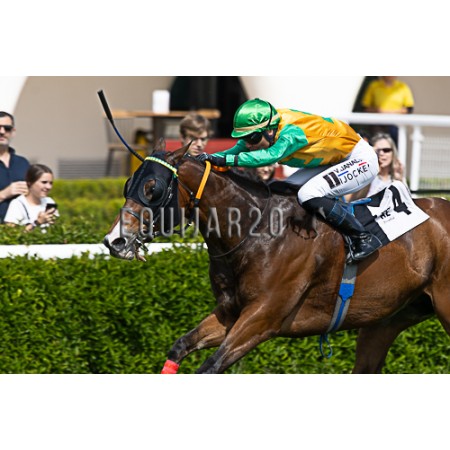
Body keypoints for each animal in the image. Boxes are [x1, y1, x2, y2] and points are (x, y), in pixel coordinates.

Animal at [103, 142, 450, 374]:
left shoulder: (263, 317)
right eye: (128, 185)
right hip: (386, 320)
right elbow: (181, 345)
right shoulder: (230, 313)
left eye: (153, 188)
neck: (254, 230)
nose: (114, 240)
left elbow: (210, 366)